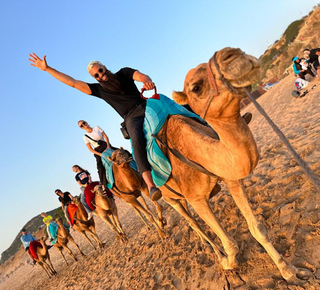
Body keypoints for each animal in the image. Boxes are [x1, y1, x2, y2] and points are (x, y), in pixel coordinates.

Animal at [140, 47, 308, 284]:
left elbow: (257, 228)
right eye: (196, 87)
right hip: (169, 198)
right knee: (192, 222)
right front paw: (227, 261)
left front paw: (291, 272)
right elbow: (231, 244)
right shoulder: (196, 198)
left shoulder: (230, 177)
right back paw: (214, 250)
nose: (233, 54)